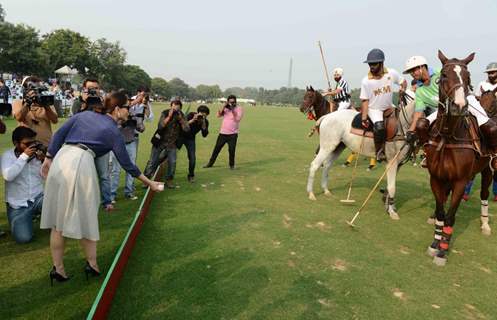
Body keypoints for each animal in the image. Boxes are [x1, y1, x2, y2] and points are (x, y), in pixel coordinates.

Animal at [422, 50, 496, 264]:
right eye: (444, 75)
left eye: (468, 77)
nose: (459, 105)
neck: (448, 137)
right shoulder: (436, 177)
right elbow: (441, 212)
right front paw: (435, 243)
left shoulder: (461, 181)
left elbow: (450, 216)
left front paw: (442, 250)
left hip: (487, 170)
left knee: (484, 194)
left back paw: (485, 224)